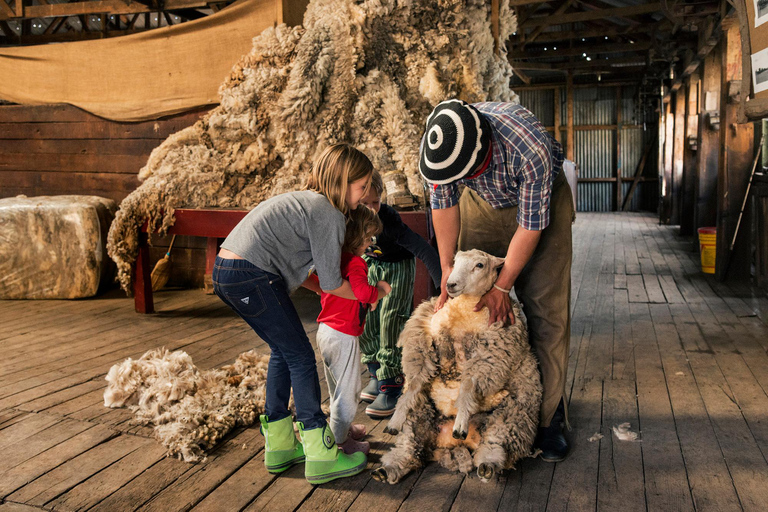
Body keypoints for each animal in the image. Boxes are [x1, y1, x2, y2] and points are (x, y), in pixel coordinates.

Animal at [370, 251, 540, 484]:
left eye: (480, 265)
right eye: (454, 262)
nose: (450, 284)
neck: (466, 310)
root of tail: (454, 444)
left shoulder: (490, 355)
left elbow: (467, 385)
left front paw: (461, 419)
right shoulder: (422, 340)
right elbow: (414, 385)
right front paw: (396, 418)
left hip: (511, 415)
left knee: (495, 442)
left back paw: (487, 465)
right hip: (422, 415)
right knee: (410, 447)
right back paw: (388, 468)